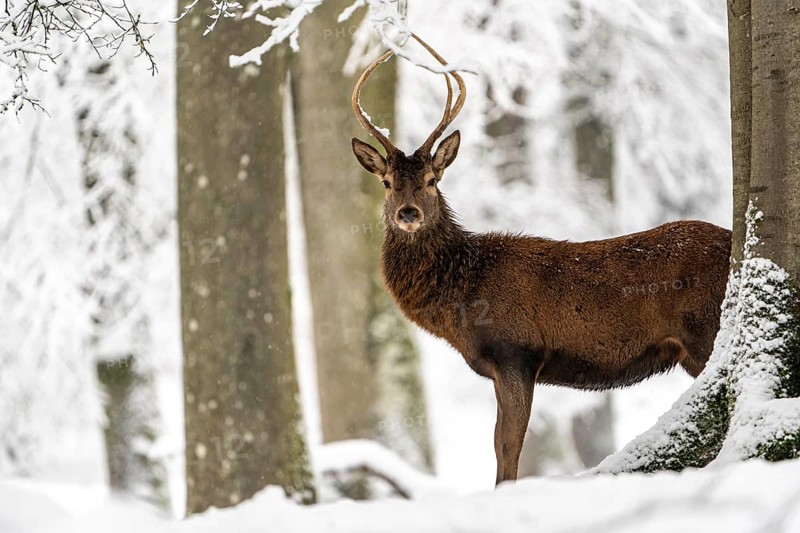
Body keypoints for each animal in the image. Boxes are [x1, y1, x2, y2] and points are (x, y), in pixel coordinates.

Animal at [350, 34, 732, 485]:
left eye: (431, 180)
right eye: (387, 182)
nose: (408, 213)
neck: (464, 296)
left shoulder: (517, 351)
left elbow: (506, 446)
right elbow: (502, 443)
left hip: (706, 330)